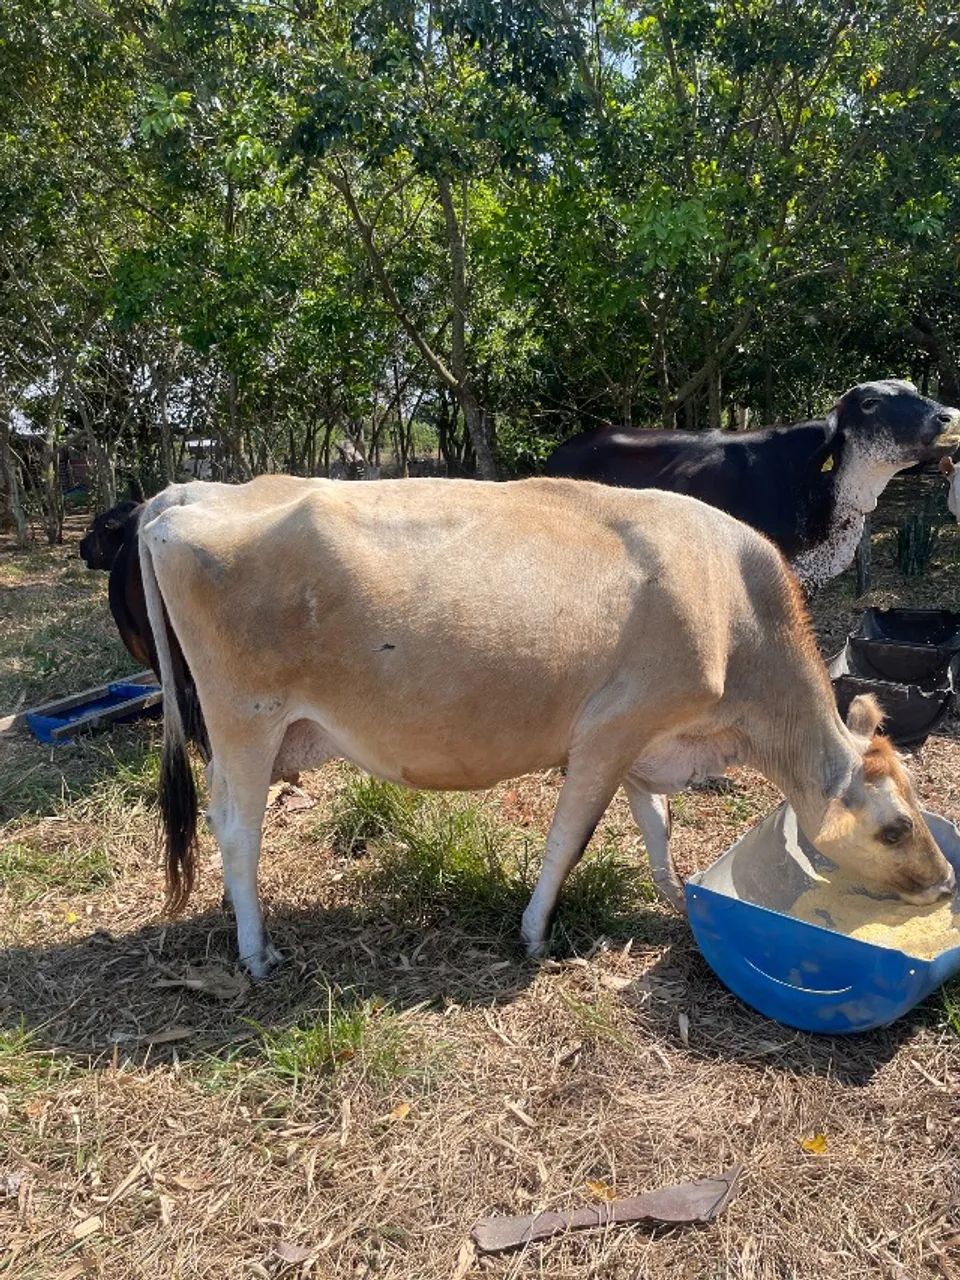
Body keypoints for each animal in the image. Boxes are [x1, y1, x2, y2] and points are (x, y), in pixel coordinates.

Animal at [135, 475, 955, 978]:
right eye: (893, 829)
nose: (945, 883)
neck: (735, 612)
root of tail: (187, 493)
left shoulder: (646, 744)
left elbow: (656, 825)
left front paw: (674, 897)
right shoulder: (611, 730)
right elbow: (570, 838)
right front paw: (532, 932)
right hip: (247, 720)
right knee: (237, 828)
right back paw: (255, 951)